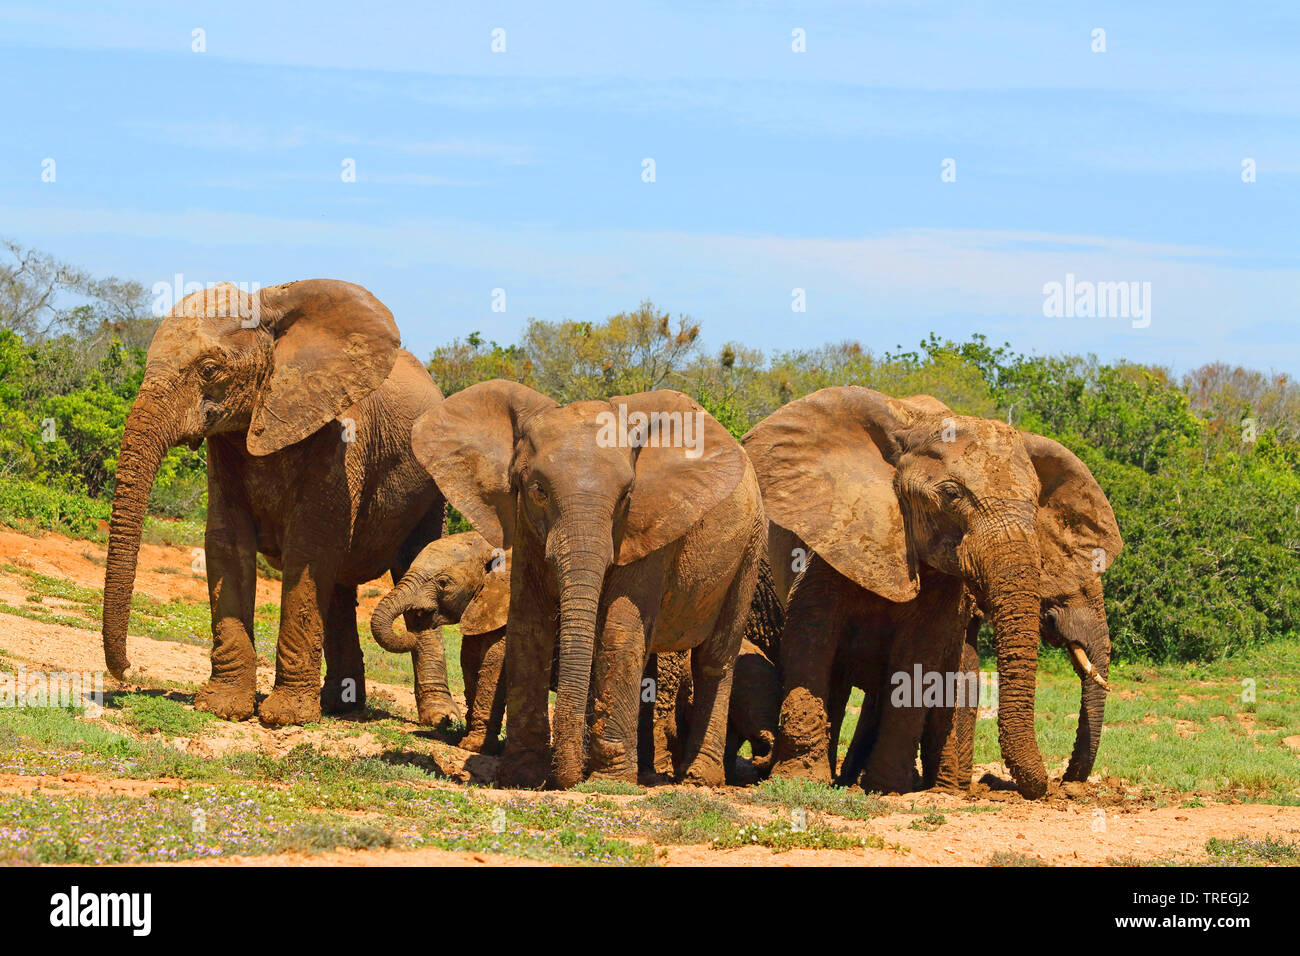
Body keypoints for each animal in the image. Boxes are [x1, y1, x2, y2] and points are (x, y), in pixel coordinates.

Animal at [100, 279, 450, 727]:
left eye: (209, 369)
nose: (127, 671)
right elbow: (228, 542)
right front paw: (224, 707)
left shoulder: (339, 434)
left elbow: (309, 546)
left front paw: (284, 717)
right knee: (338, 587)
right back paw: (339, 705)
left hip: (433, 487)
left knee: (415, 563)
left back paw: (437, 720)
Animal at [369, 532, 511, 751]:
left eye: (443, 582)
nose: (410, 635)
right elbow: (469, 662)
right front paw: (462, 736)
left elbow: (494, 667)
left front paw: (473, 746)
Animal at [412, 380, 766, 788]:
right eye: (538, 490)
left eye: (626, 496)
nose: (567, 776)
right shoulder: (526, 523)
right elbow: (529, 623)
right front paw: (523, 775)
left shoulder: (649, 528)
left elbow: (620, 628)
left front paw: (609, 782)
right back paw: (645, 770)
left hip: (750, 549)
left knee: (715, 659)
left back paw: (698, 778)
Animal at [743, 386, 1122, 799]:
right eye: (952, 494)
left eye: (1036, 503)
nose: (1061, 786)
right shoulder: (835, 534)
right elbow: (810, 638)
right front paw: (800, 780)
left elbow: (921, 656)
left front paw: (887, 788)